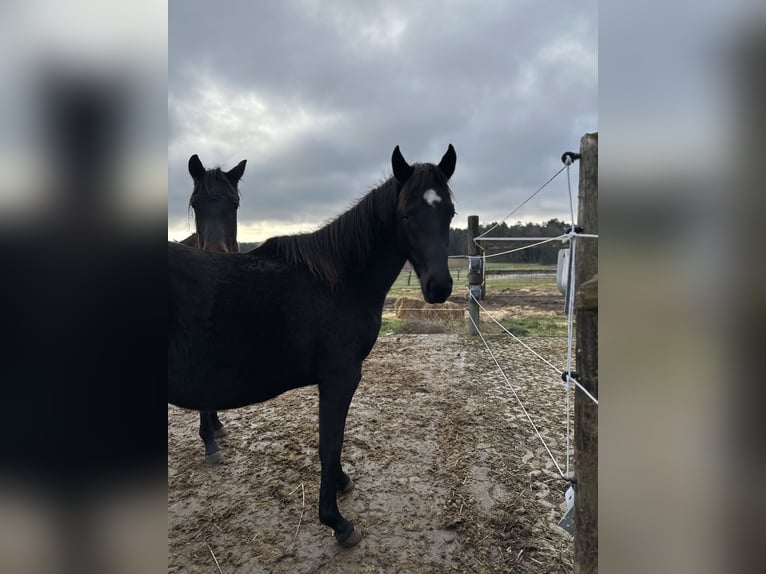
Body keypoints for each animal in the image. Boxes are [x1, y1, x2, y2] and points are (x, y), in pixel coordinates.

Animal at [170, 144, 456, 548]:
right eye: (406, 213)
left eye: (450, 212)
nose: (439, 287)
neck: (338, 282)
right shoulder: (340, 378)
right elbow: (329, 443)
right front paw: (336, 520)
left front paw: (341, 482)